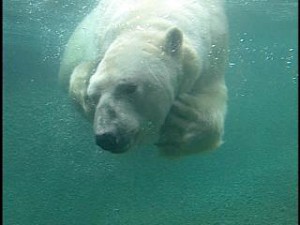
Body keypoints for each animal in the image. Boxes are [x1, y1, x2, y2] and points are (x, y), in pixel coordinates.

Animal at [58, 0, 227, 157]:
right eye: (93, 96)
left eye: (130, 88)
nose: (106, 136)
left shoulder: (213, 55)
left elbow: (212, 96)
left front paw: (183, 122)